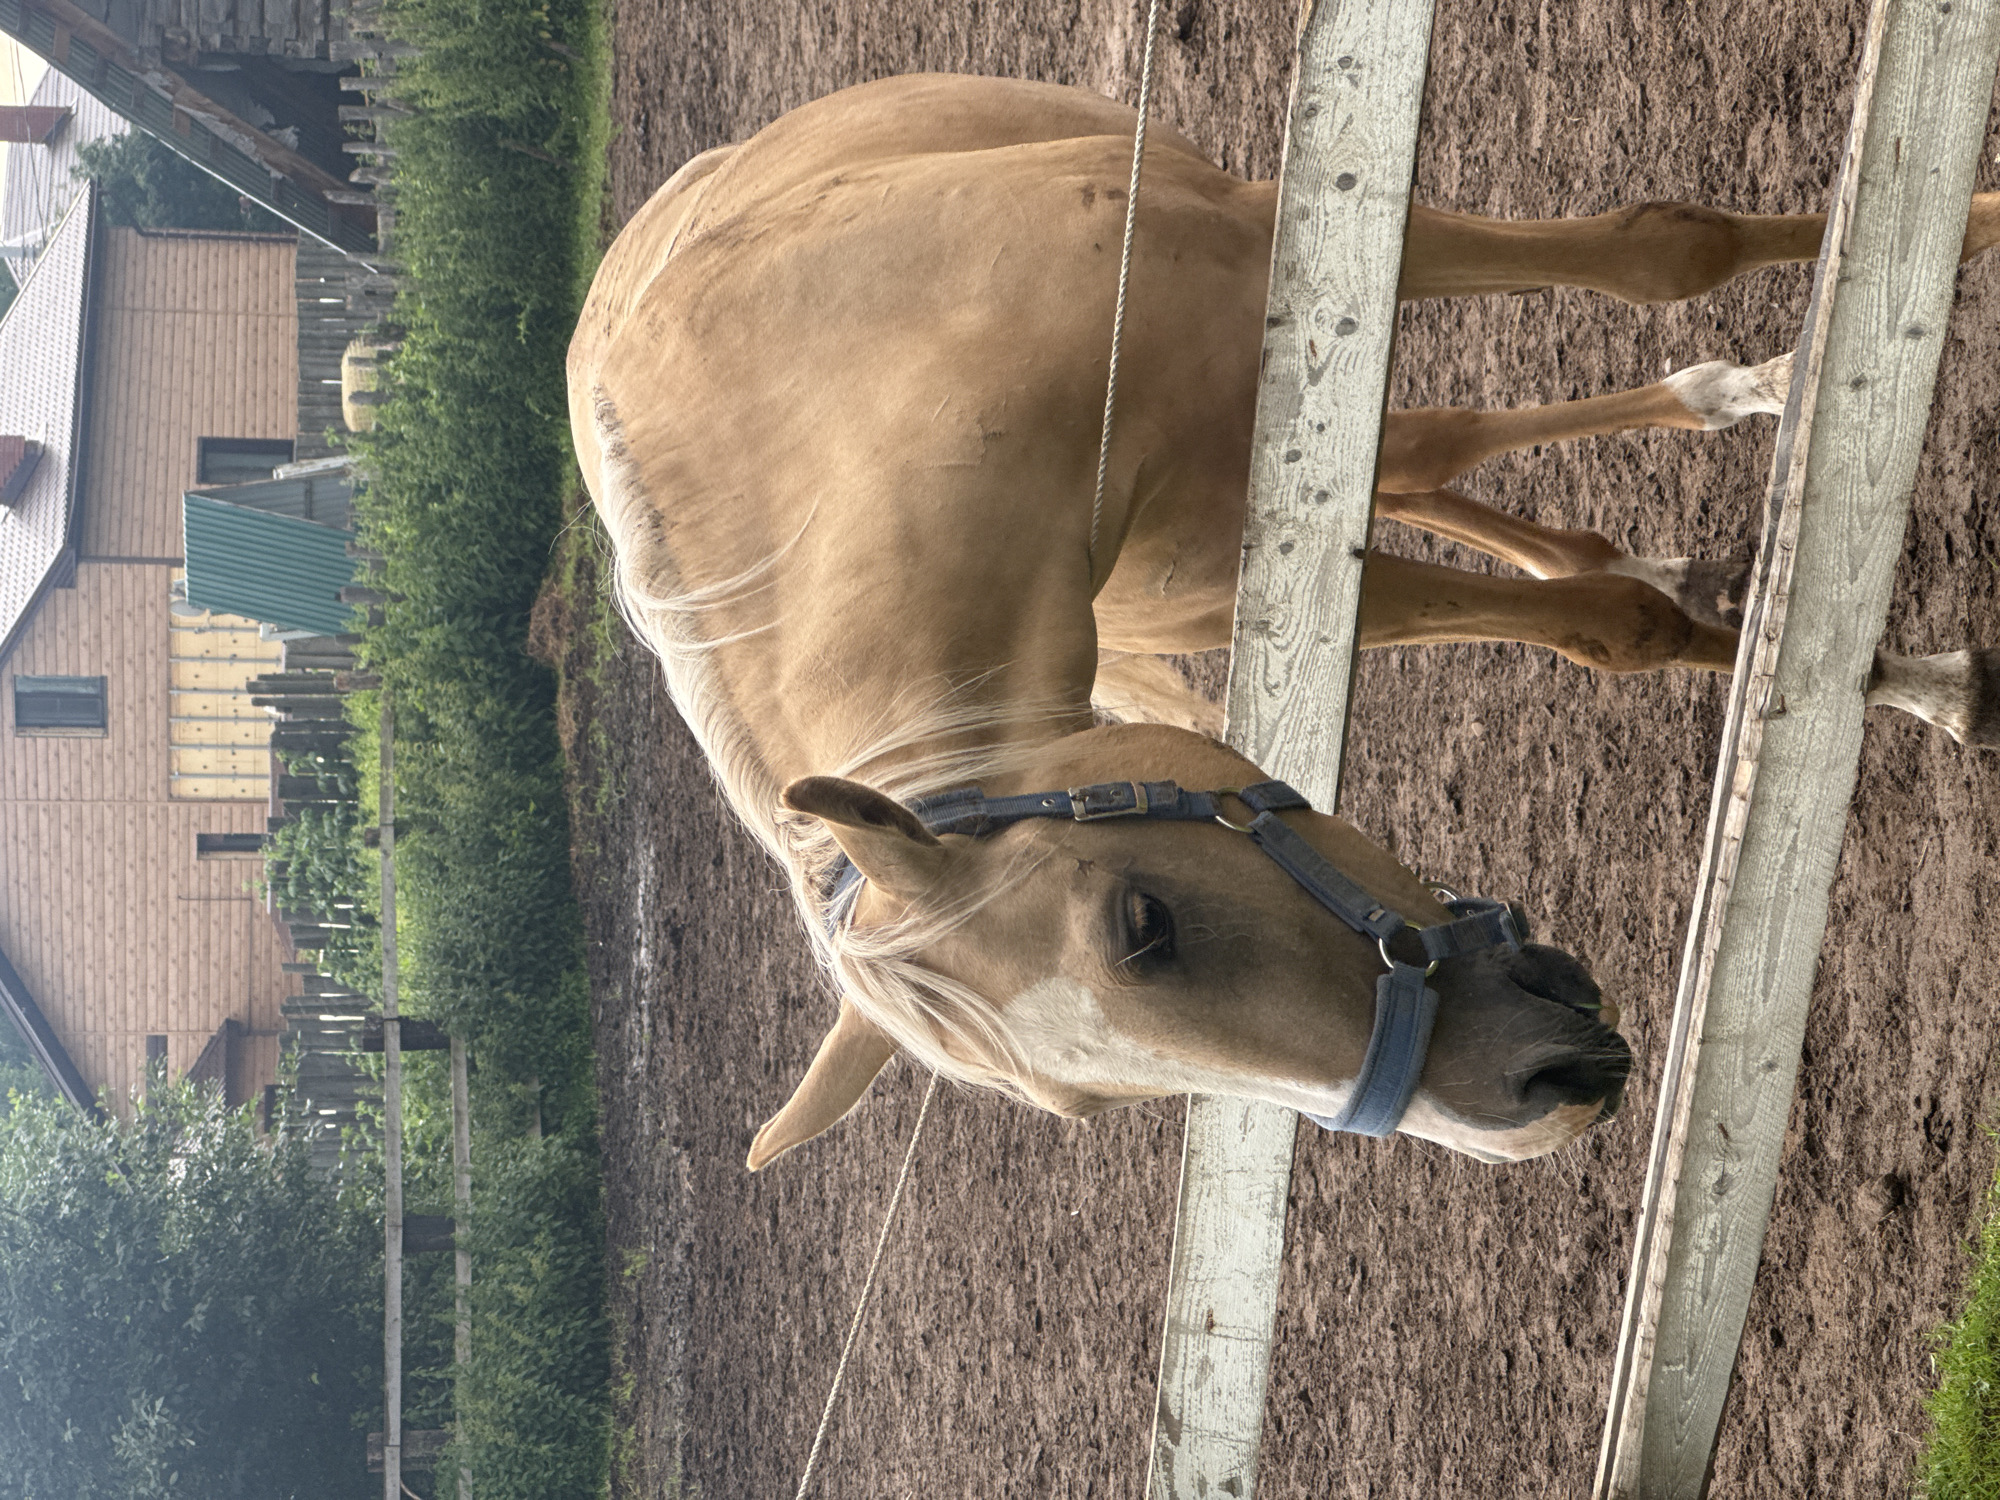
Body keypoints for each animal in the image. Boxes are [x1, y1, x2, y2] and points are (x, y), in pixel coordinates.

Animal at [568, 74, 2000, 1170]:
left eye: (1143, 926)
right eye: (1093, 1100)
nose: (1529, 1104)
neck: (888, 366)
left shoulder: (1281, 239)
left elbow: (1660, 250)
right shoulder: (1250, 573)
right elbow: (1601, 626)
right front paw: (1895, 678)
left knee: (1444, 445)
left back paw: (1735, 401)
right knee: (1433, 467)